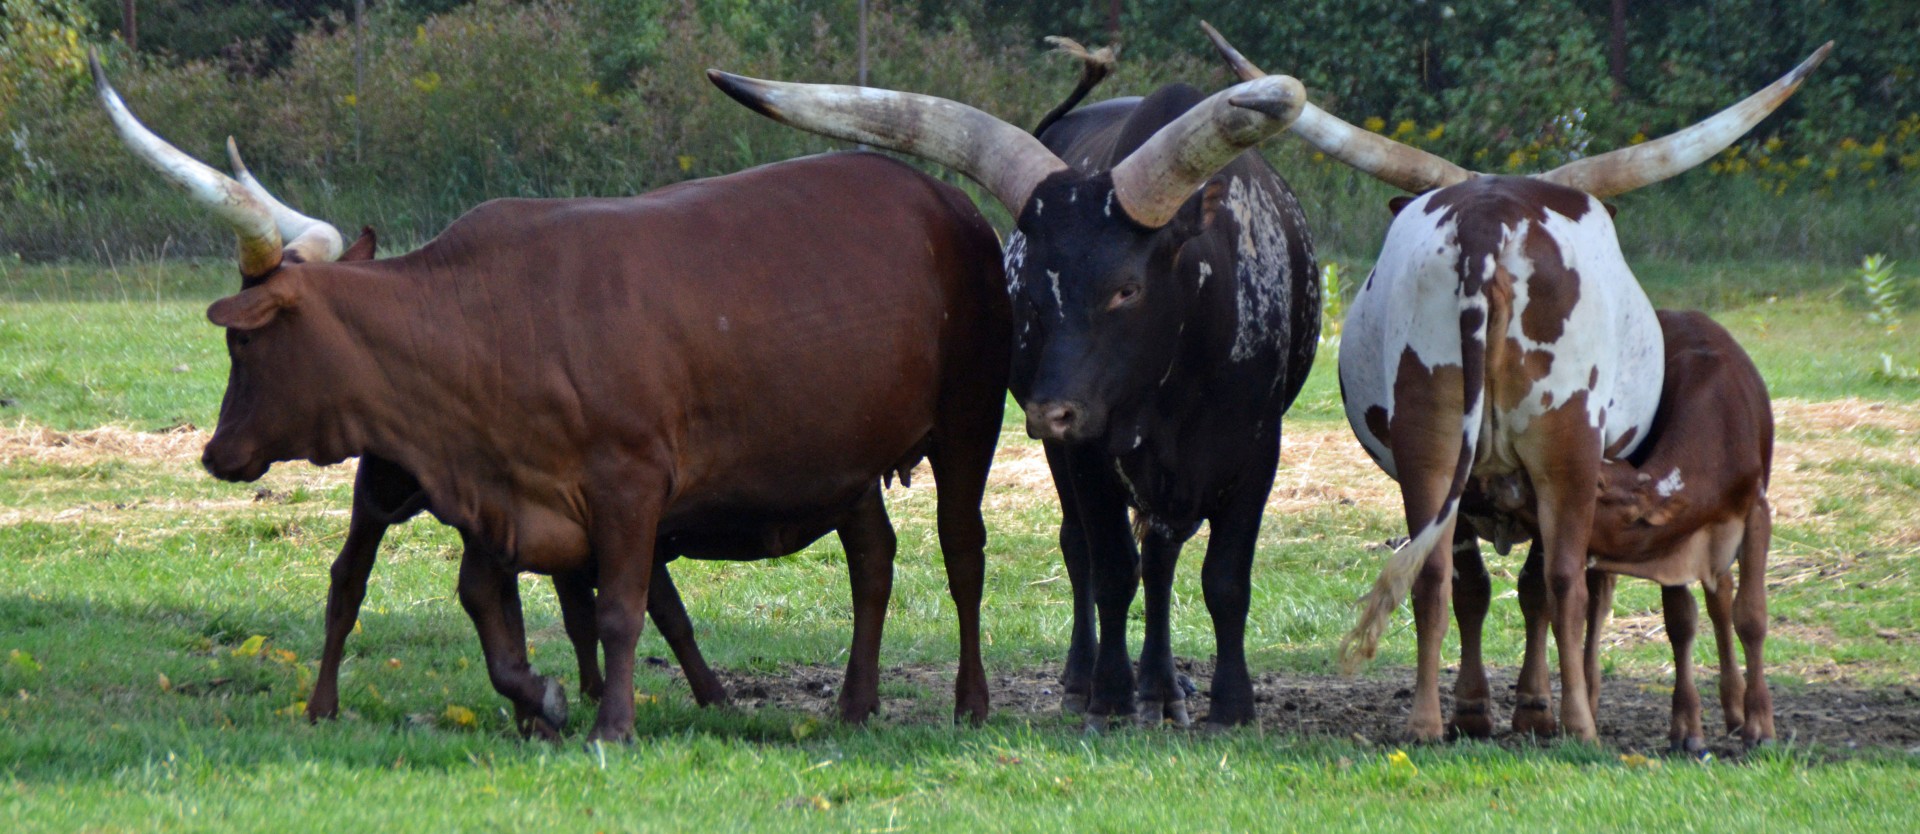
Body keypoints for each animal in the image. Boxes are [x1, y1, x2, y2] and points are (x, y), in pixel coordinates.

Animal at [95, 55, 1013, 737]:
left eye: (242, 341)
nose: (217, 453)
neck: (479, 322)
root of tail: (946, 200)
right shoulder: (500, 495)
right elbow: (492, 615)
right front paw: (543, 701)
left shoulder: (631, 486)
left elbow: (620, 612)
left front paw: (611, 723)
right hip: (847, 458)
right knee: (874, 559)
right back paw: (856, 704)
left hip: (968, 423)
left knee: (962, 553)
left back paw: (970, 702)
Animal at [706, 40, 1320, 730]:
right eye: (1026, 294)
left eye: (1127, 289)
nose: (1051, 413)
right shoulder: (1090, 454)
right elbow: (1112, 568)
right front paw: (1109, 695)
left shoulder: (1257, 452)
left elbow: (1225, 580)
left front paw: (1233, 704)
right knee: (1087, 550)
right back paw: (1090, 678)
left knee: (1161, 560)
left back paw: (1162, 686)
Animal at [1205, 24, 1820, 741]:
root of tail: (1487, 229)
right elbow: (1533, 590)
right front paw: (1530, 708)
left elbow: (1473, 587)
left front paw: (1476, 709)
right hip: (1568, 443)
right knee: (1563, 580)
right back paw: (1577, 724)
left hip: (1431, 442)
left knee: (1433, 574)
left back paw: (1426, 721)